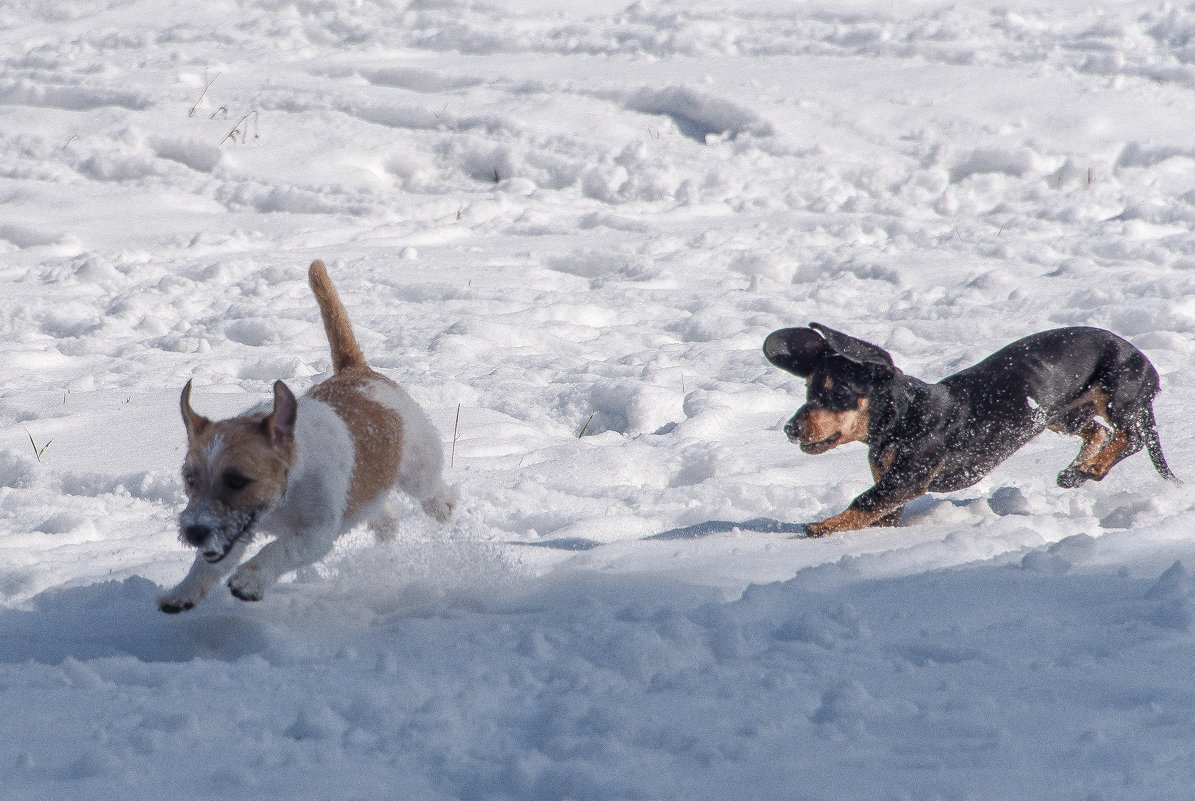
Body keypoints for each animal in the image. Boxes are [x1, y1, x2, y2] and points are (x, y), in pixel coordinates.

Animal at [156, 261, 454, 616]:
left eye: (238, 480)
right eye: (190, 479)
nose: (194, 532)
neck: (286, 493)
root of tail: (357, 371)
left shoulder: (314, 535)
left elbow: (279, 550)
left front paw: (249, 581)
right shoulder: (236, 532)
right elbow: (208, 564)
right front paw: (183, 591)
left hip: (418, 468)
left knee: (430, 489)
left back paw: (443, 507)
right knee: (380, 508)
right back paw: (387, 526)